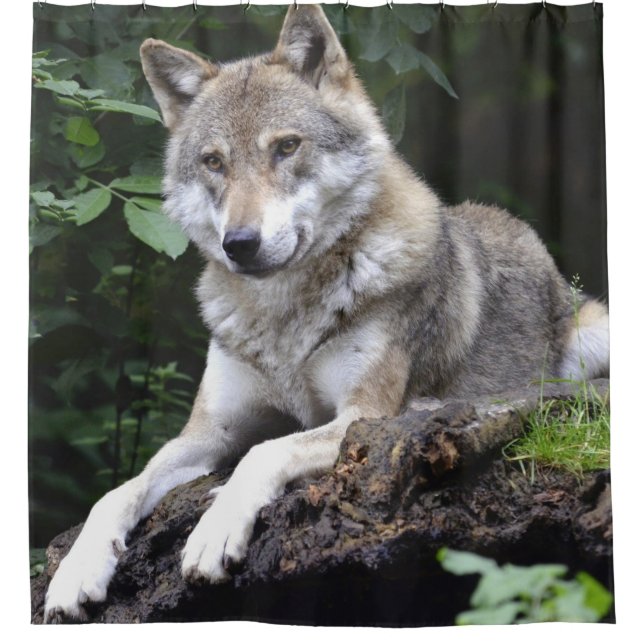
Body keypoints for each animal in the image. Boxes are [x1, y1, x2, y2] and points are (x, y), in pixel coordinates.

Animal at [43, 5, 609, 622]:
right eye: (214, 162)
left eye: (286, 147)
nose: (239, 244)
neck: (283, 317)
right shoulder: (210, 430)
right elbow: (118, 491)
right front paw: (76, 570)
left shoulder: (363, 417)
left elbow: (264, 451)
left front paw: (215, 528)